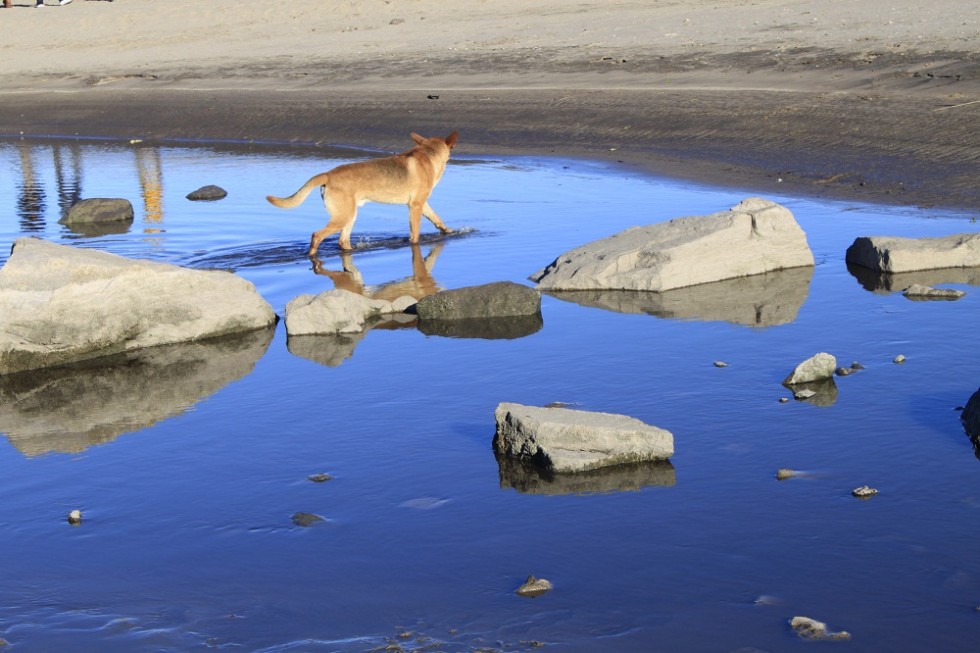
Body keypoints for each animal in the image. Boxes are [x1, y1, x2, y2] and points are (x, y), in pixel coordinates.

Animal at [268, 131, 460, 256]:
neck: (428, 154)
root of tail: (328, 174)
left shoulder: (421, 204)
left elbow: (437, 219)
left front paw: (448, 231)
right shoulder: (416, 206)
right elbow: (415, 234)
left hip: (350, 216)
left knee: (342, 241)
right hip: (343, 217)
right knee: (317, 235)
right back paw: (312, 255)